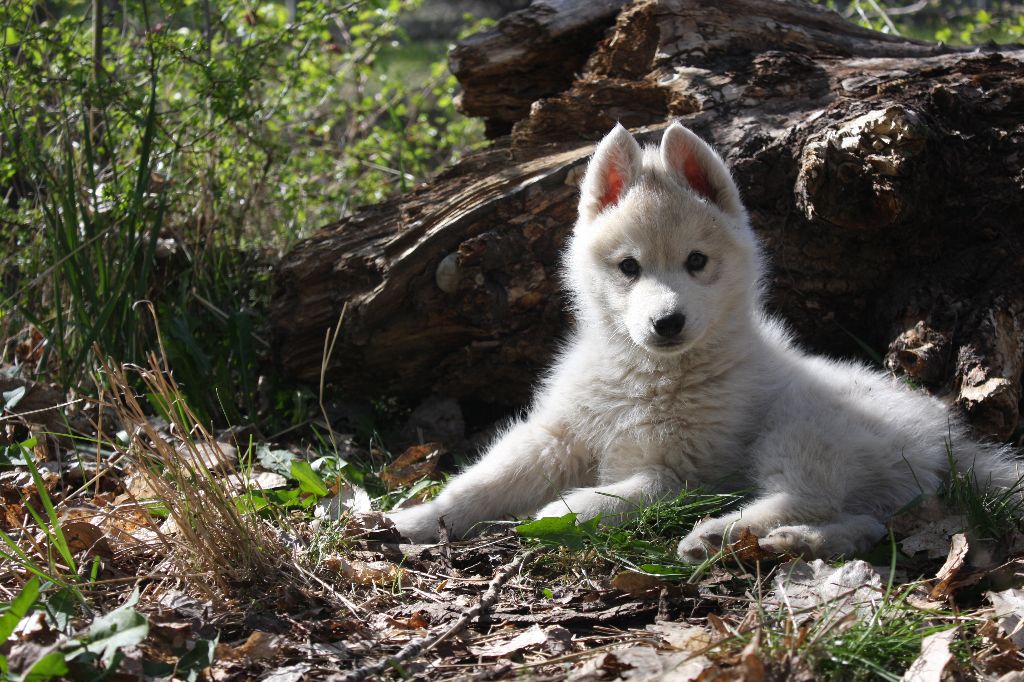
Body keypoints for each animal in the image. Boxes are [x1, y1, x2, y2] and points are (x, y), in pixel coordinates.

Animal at [389, 122, 1019, 560]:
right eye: (629, 267)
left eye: (696, 262)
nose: (667, 322)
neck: (649, 376)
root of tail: (949, 440)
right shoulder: (557, 436)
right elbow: (481, 481)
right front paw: (413, 519)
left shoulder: (689, 471)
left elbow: (620, 494)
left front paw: (559, 511)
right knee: (861, 522)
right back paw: (788, 543)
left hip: (805, 426)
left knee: (806, 495)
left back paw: (719, 532)